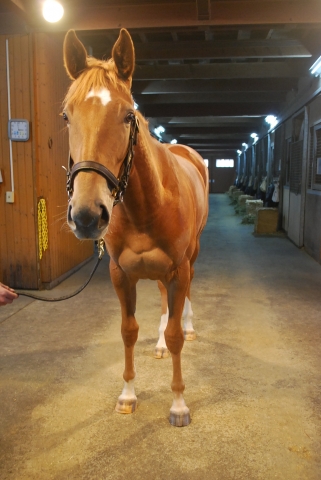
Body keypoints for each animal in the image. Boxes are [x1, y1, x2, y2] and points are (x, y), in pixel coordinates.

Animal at [62, 29, 209, 428]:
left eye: (129, 116)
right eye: (65, 116)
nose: (87, 215)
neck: (146, 206)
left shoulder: (178, 271)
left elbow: (175, 334)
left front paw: (179, 404)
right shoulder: (121, 274)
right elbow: (129, 331)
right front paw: (127, 395)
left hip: (190, 260)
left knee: (184, 304)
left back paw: (190, 327)